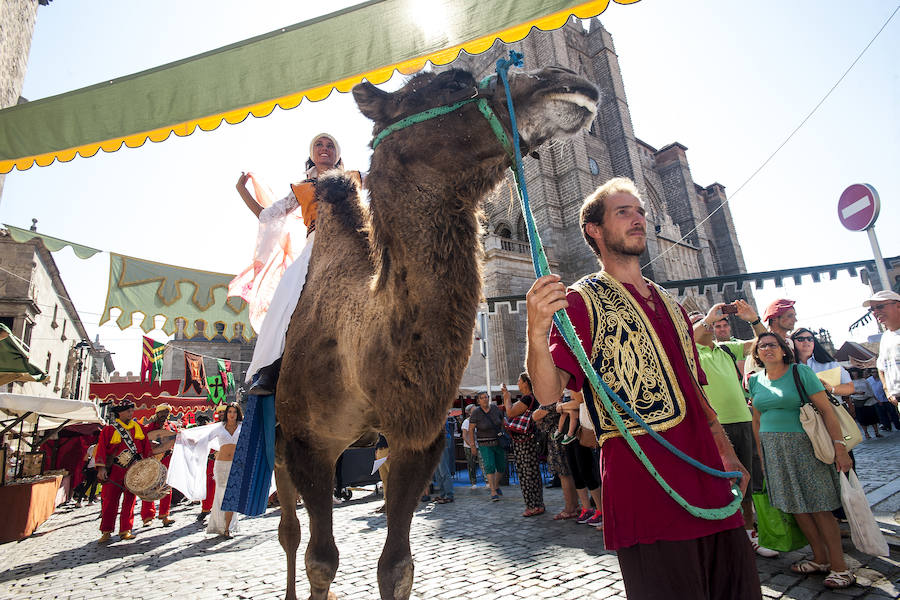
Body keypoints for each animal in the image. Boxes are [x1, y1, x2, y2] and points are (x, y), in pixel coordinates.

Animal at [274, 63, 596, 596]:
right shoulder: (308, 445)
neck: (358, 354)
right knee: (289, 531)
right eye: (452, 83)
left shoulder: (417, 442)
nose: (565, 80)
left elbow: (397, 567)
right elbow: (320, 559)